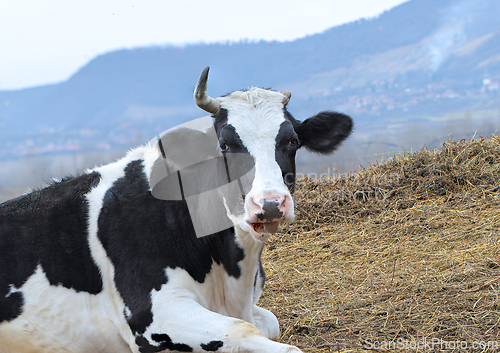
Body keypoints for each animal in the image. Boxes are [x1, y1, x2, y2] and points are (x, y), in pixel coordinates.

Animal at [0, 66, 354, 352]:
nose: (269, 203)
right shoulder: (152, 314)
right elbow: (247, 332)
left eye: (292, 141)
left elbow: (269, 323)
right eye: (224, 145)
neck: (230, 278)